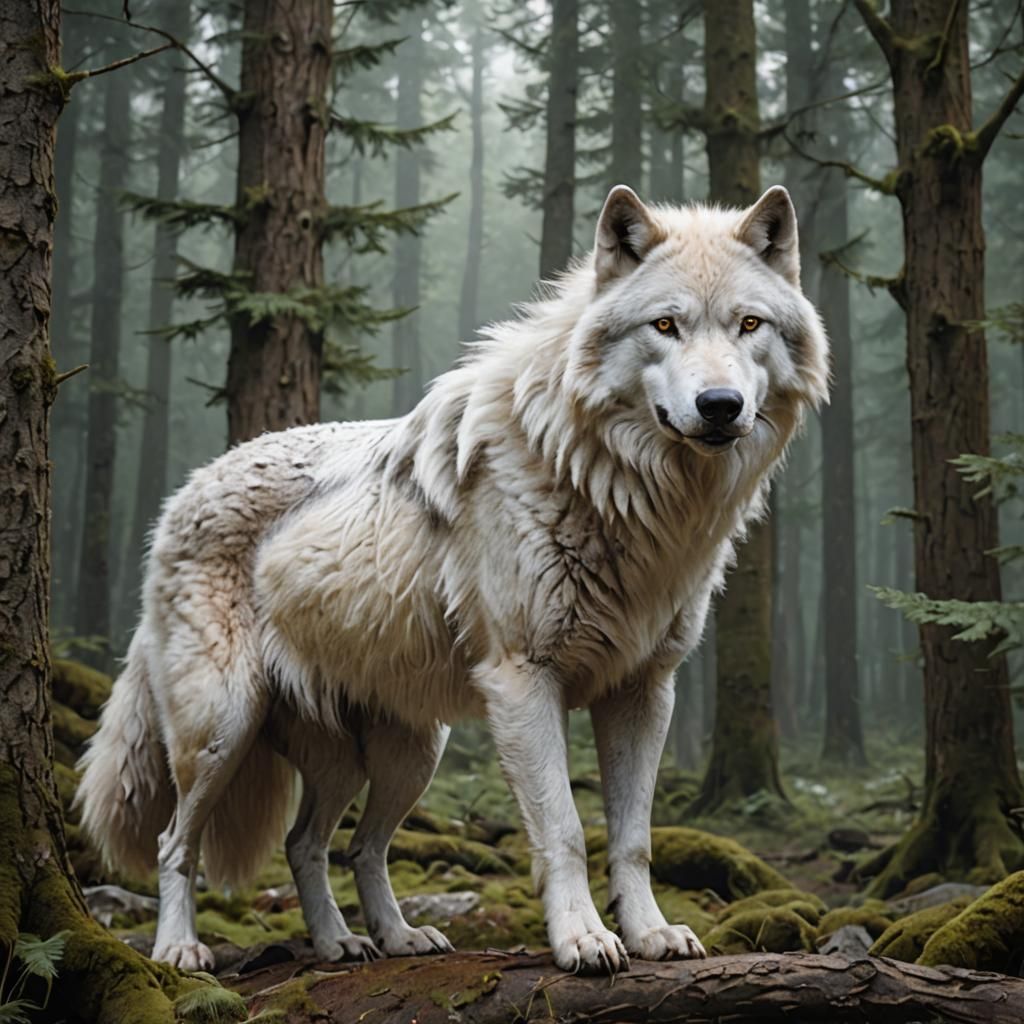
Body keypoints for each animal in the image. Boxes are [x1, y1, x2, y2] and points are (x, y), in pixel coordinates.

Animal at [77, 184, 828, 975]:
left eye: (749, 324)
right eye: (665, 325)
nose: (720, 405)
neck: (615, 490)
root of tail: (180, 496)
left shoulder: (644, 692)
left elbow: (634, 837)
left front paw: (651, 934)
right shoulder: (524, 680)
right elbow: (564, 830)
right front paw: (584, 940)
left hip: (402, 757)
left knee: (329, 844)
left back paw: (368, 940)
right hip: (223, 728)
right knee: (177, 841)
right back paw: (180, 948)